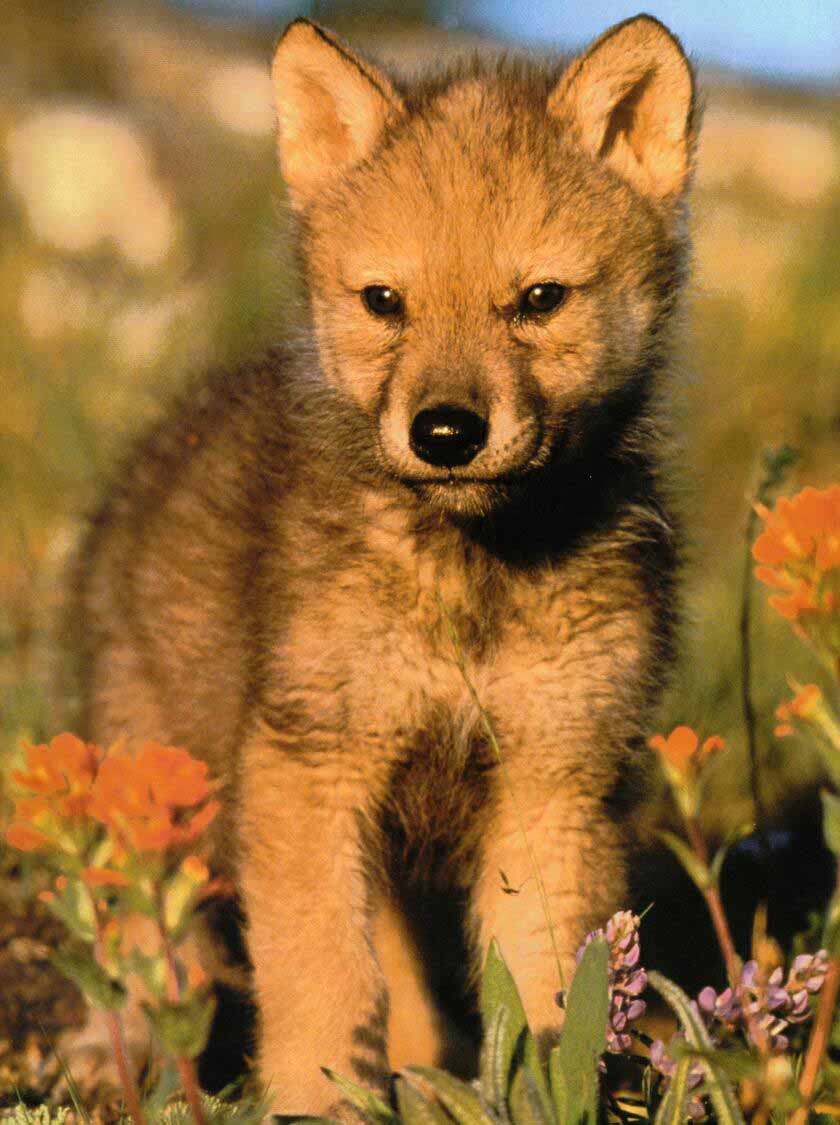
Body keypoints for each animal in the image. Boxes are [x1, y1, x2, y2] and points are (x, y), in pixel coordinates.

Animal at [67, 12, 697, 1116]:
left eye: (539, 299)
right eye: (383, 301)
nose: (446, 431)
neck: (469, 575)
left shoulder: (554, 778)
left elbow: (540, 999)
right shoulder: (309, 764)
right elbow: (325, 980)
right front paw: (319, 1103)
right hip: (159, 788)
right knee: (145, 946)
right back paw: (118, 1057)